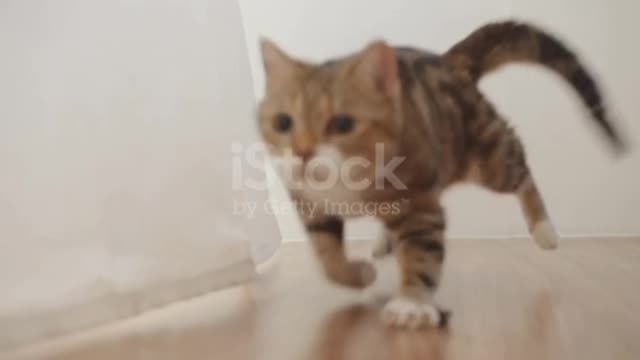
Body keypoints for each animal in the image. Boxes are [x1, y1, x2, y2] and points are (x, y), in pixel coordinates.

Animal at [256, 20, 624, 330]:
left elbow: (421, 250)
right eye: (283, 122)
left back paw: (543, 228)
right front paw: (356, 274)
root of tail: (448, 62)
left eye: (343, 123)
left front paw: (410, 303)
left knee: (520, 167)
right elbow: (326, 254)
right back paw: (384, 241)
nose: (302, 152)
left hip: (489, 158)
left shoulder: (419, 204)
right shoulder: (308, 203)